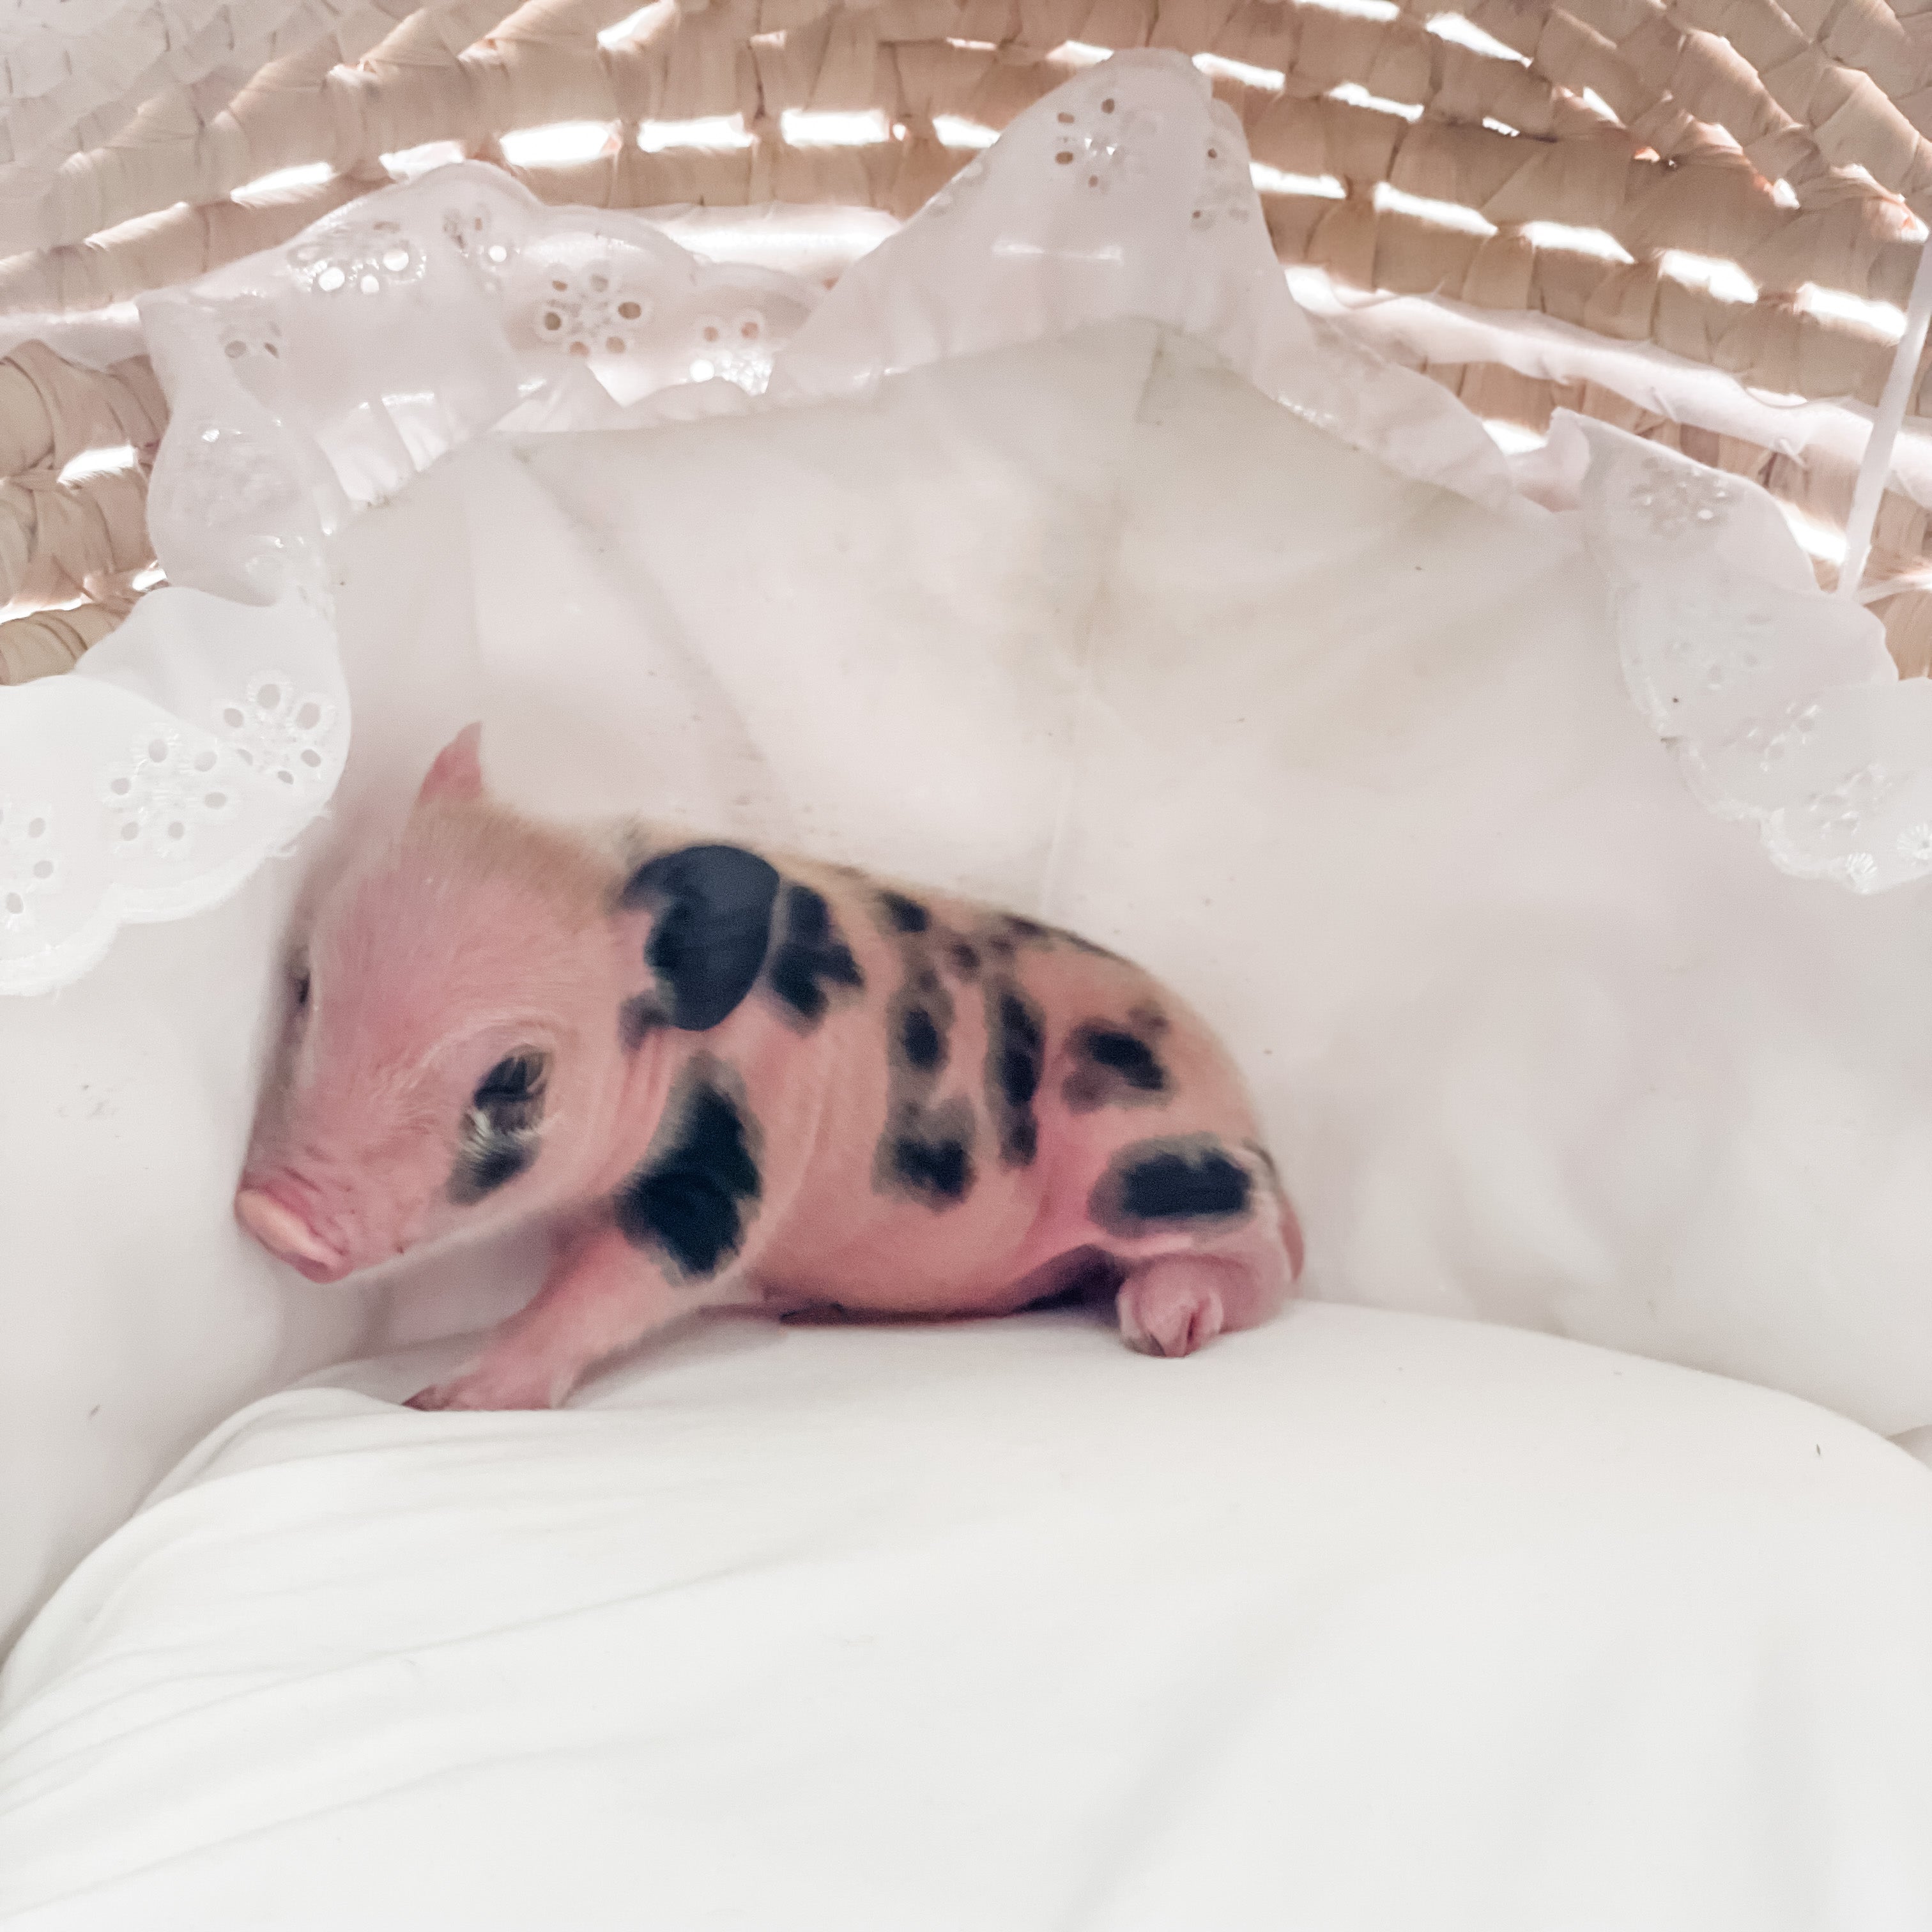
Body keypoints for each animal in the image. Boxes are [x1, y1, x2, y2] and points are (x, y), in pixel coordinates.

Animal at [235, 726, 1302, 1411]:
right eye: (306, 986)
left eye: (516, 1078)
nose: (268, 1214)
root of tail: (1259, 1133)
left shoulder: (744, 1144)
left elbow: (637, 1271)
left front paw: (441, 1403)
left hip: (1155, 1159)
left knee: (1269, 1265)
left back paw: (1164, 1321)